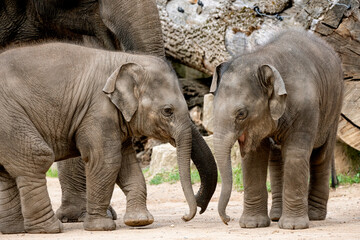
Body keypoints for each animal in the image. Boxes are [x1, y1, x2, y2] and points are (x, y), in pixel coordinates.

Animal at [0, 42, 217, 233]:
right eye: (168, 111)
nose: (187, 215)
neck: (123, 60)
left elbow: (128, 165)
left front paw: (140, 221)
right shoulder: (98, 109)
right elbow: (106, 160)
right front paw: (102, 227)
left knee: (5, 172)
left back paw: (15, 230)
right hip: (9, 117)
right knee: (37, 157)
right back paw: (50, 229)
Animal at [210, 29, 344, 230]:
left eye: (241, 114)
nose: (227, 220)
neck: (264, 58)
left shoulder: (306, 108)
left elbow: (296, 154)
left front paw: (293, 227)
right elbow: (253, 158)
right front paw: (252, 225)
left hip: (334, 108)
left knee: (321, 156)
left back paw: (314, 216)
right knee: (276, 159)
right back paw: (276, 216)